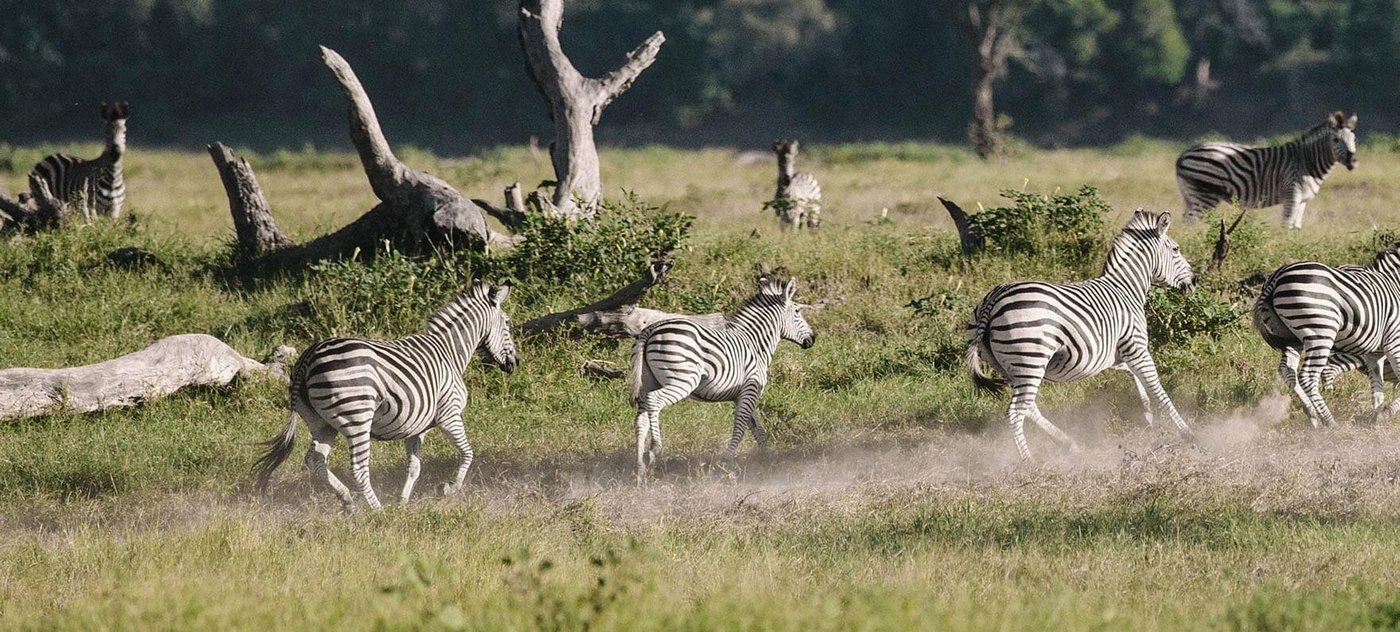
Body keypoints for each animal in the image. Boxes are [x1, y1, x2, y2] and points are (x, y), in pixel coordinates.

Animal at [253, 280, 518, 511]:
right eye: (507, 323)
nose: (515, 363)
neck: (450, 352)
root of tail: (308, 356)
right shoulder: (449, 414)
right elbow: (467, 453)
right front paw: (449, 488)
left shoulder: (416, 427)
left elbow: (414, 467)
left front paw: (403, 502)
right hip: (357, 416)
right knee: (358, 468)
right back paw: (377, 510)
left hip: (321, 423)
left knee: (314, 460)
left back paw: (348, 501)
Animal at [628, 274, 816, 482]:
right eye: (797, 311)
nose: (813, 339)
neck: (756, 344)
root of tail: (650, 330)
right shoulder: (750, 390)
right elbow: (740, 426)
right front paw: (725, 462)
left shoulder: (744, 394)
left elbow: (757, 429)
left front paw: (767, 460)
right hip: (683, 380)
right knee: (654, 400)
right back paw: (655, 449)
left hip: (648, 381)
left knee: (642, 417)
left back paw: (640, 467)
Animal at [966, 209, 1198, 460]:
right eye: (1175, 249)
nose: (1195, 281)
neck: (1126, 289)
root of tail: (993, 298)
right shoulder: (1136, 347)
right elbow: (1159, 391)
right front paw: (1188, 434)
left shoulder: (1114, 354)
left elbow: (1136, 378)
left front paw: (1147, 416)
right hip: (1030, 360)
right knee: (1016, 412)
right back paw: (1029, 461)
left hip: (1009, 367)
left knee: (1029, 408)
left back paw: (1068, 443)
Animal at [1175, 111, 1357, 229]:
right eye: (1336, 140)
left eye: (1354, 139)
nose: (1353, 161)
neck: (1307, 161)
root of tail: (1183, 154)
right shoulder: (1292, 195)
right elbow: (1286, 226)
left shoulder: (1302, 201)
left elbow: (1296, 228)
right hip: (1205, 196)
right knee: (1189, 224)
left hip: (1191, 195)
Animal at [1252, 246, 1400, 427]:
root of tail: (1275, 279)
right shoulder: (1394, 341)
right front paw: (1385, 414)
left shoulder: (1374, 354)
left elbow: (1377, 388)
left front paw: (1377, 417)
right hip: (1321, 331)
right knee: (1308, 376)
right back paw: (1330, 422)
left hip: (1290, 337)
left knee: (1288, 370)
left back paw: (1313, 415)